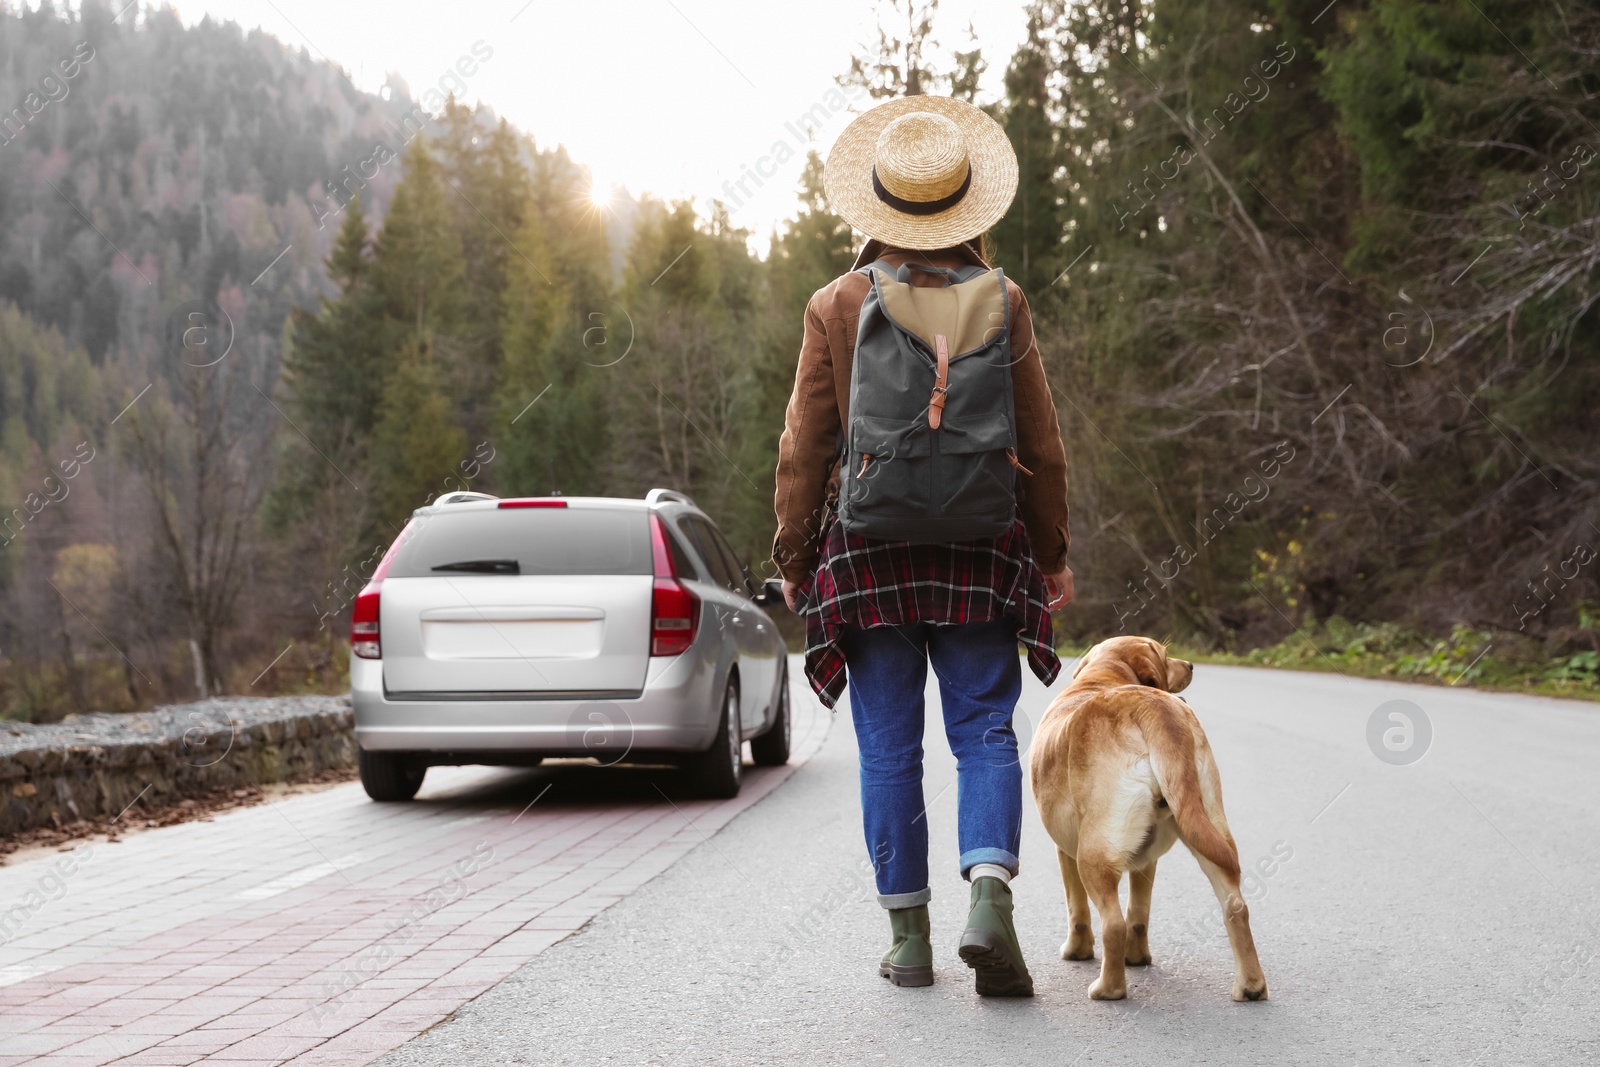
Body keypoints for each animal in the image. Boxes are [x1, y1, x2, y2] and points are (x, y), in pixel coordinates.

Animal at [1030, 633, 1267, 1004]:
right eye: (1167, 656)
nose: (1191, 665)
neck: (1104, 678)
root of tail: (1149, 705)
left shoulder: (1065, 852)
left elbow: (1077, 910)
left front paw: (1076, 951)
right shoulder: (1146, 861)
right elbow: (1139, 913)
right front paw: (1137, 958)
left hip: (1092, 856)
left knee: (1112, 923)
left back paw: (1107, 989)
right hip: (1209, 828)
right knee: (1235, 906)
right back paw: (1251, 985)